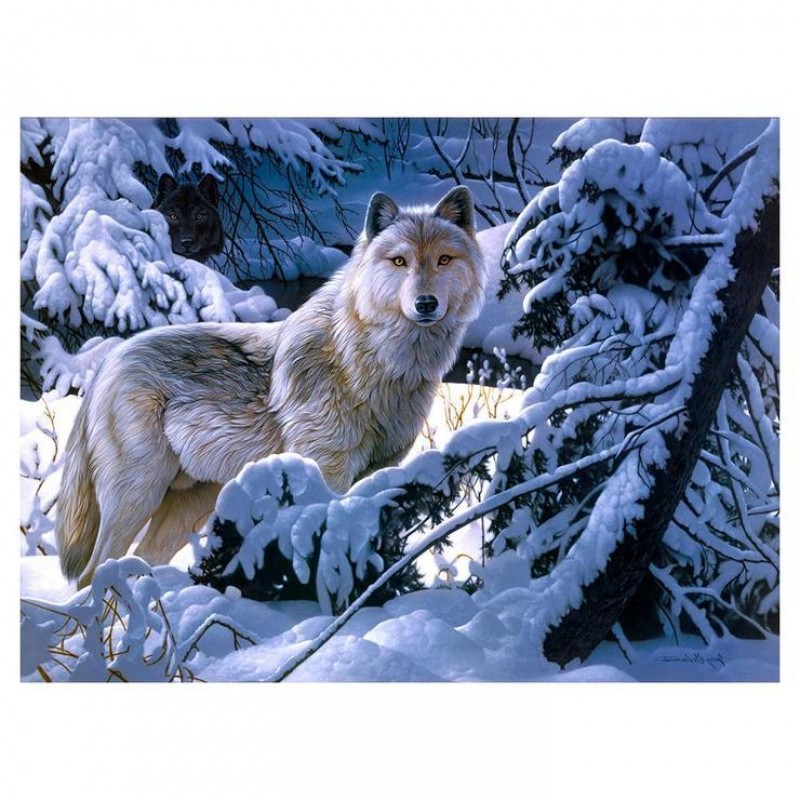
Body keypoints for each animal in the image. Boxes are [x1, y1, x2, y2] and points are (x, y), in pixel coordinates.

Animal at [55, 187, 487, 588]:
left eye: (444, 260)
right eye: (400, 261)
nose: (426, 303)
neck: (372, 362)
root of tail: (109, 362)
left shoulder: (379, 471)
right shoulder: (327, 471)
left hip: (188, 505)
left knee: (139, 562)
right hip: (138, 496)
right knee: (92, 573)